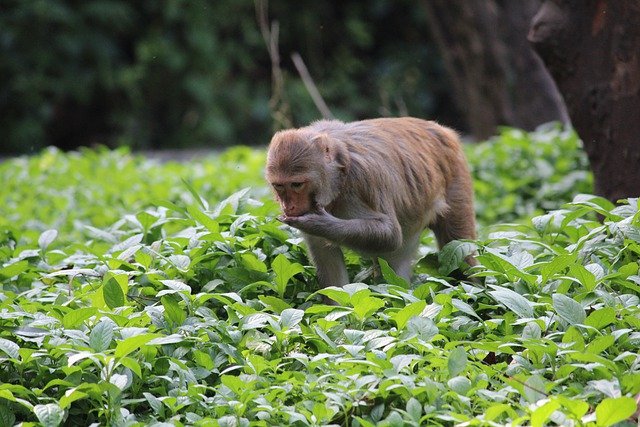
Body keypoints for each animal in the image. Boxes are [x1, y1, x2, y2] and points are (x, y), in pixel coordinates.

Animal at [264, 117, 476, 294]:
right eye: (279, 186)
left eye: (297, 184)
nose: (288, 206)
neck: (338, 179)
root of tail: (442, 130)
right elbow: (327, 259)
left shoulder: (364, 178)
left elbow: (390, 234)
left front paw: (319, 223)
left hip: (456, 176)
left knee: (458, 247)